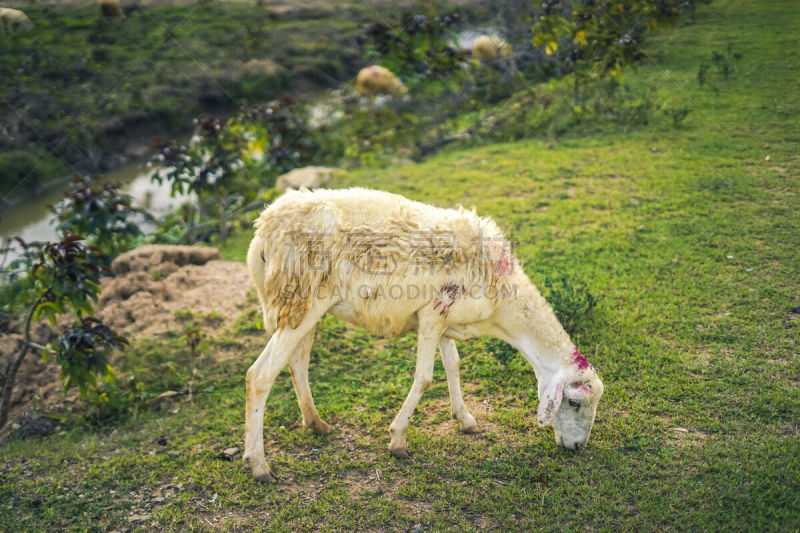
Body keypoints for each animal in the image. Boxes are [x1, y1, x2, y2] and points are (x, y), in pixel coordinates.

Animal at [245, 187, 608, 482]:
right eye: (574, 402)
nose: (577, 446)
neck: (502, 307)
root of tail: (263, 229)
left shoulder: (446, 319)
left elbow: (453, 366)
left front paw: (465, 419)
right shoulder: (432, 314)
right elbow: (424, 378)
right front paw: (398, 439)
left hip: (302, 307)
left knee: (297, 363)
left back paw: (316, 424)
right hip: (300, 301)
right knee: (259, 375)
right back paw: (260, 466)